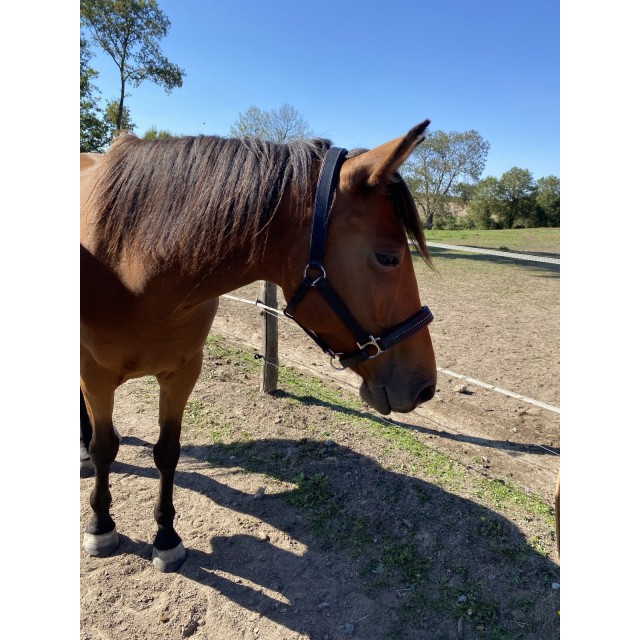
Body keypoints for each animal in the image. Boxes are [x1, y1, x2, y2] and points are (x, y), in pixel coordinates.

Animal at [80, 120, 438, 572]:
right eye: (388, 258)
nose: (425, 386)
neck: (132, 267)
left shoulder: (182, 374)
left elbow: (168, 452)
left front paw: (166, 537)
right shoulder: (95, 377)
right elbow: (105, 448)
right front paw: (101, 524)